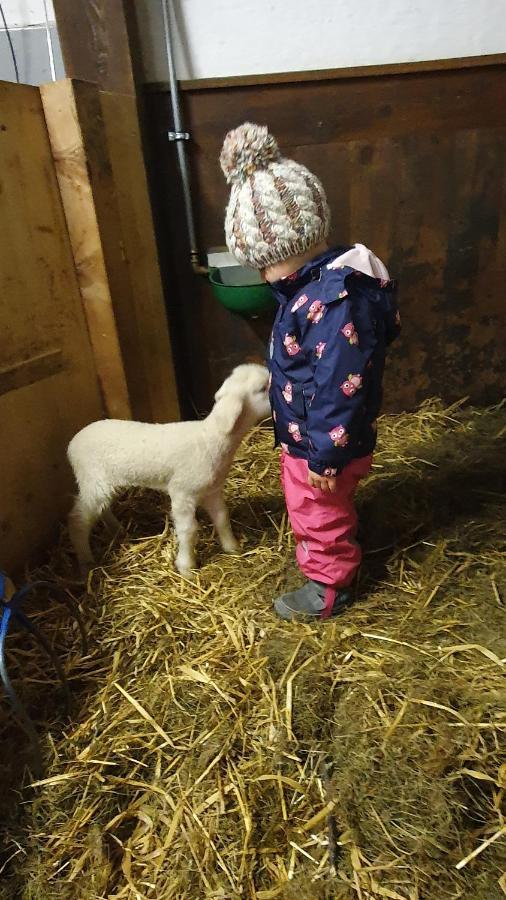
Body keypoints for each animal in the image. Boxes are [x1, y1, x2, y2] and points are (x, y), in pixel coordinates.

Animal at [68, 364, 272, 576]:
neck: (210, 439)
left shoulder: (212, 490)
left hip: (105, 484)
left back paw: (117, 530)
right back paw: (86, 562)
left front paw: (232, 547)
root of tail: (73, 443)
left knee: (102, 508)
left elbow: (222, 517)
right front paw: (186, 567)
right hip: (93, 480)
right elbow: (189, 530)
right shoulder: (182, 492)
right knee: (78, 519)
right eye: (262, 389)